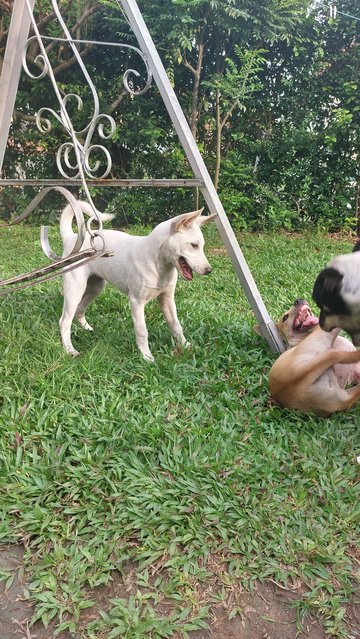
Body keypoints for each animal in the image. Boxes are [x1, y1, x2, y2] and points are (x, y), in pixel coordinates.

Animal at [59, 202, 217, 360]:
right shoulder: (136, 301)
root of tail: (71, 238)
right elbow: (142, 331)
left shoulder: (166, 299)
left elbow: (176, 325)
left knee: (79, 310)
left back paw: (88, 329)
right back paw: (69, 349)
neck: (158, 264)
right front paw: (146, 356)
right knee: (65, 321)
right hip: (75, 289)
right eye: (194, 245)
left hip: (96, 287)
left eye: (201, 245)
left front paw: (186, 346)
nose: (209, 270)